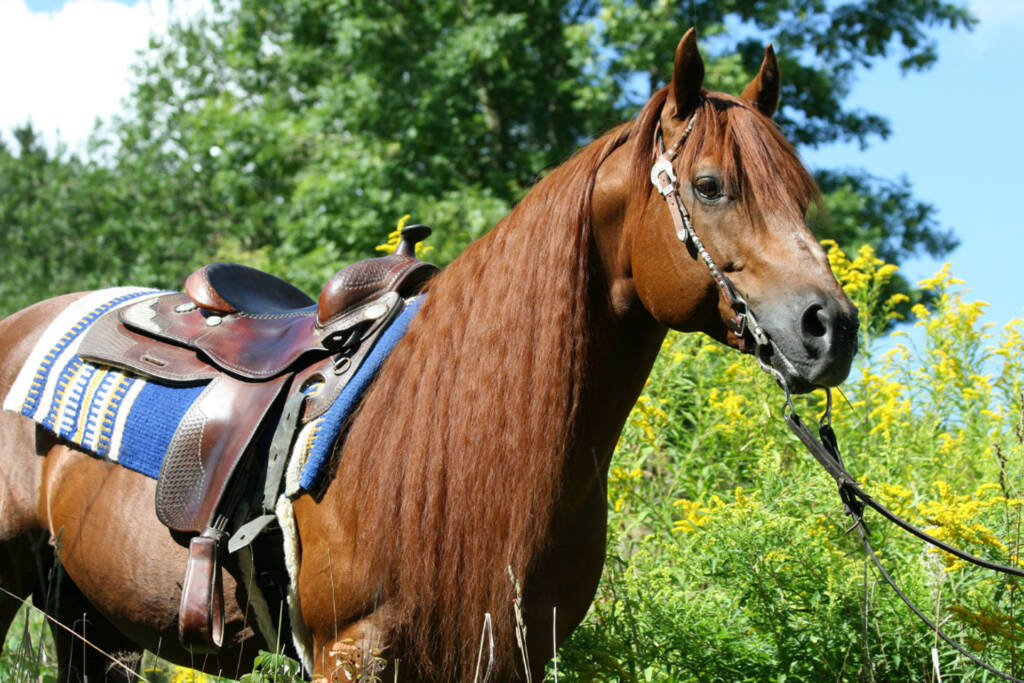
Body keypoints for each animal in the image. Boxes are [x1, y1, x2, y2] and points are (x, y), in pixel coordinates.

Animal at [0, 30, 856, 683]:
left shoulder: (508, 656)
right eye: (710, 186)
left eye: (799, 194)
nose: (832, 327)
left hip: (88, 617)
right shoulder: (353, 654)